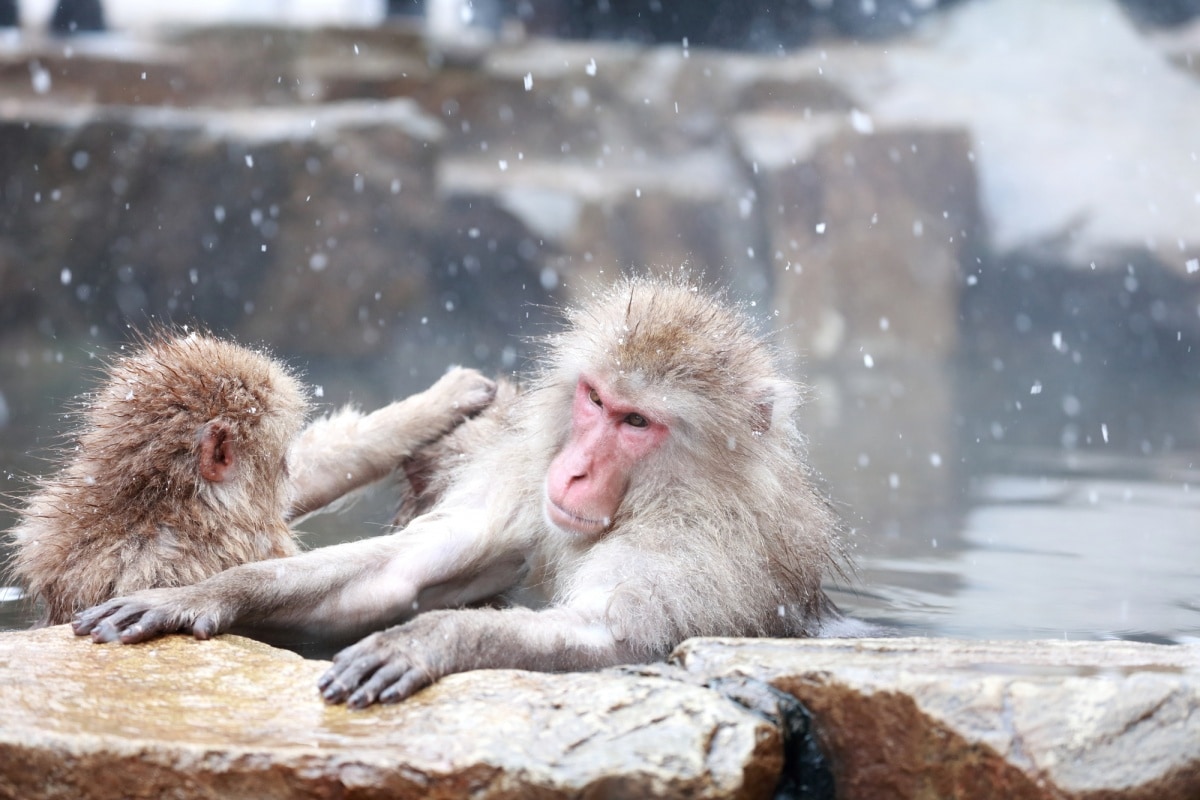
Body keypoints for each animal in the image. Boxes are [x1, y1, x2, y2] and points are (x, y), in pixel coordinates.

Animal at [75, 278, 849, 710]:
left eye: (637, 422)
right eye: (596, 400)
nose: (572, 472)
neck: (656, 495)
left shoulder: (689, 550)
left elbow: (614, 640)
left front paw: (431, 640)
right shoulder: (527, 482)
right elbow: (401, 571)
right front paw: (204, 594)